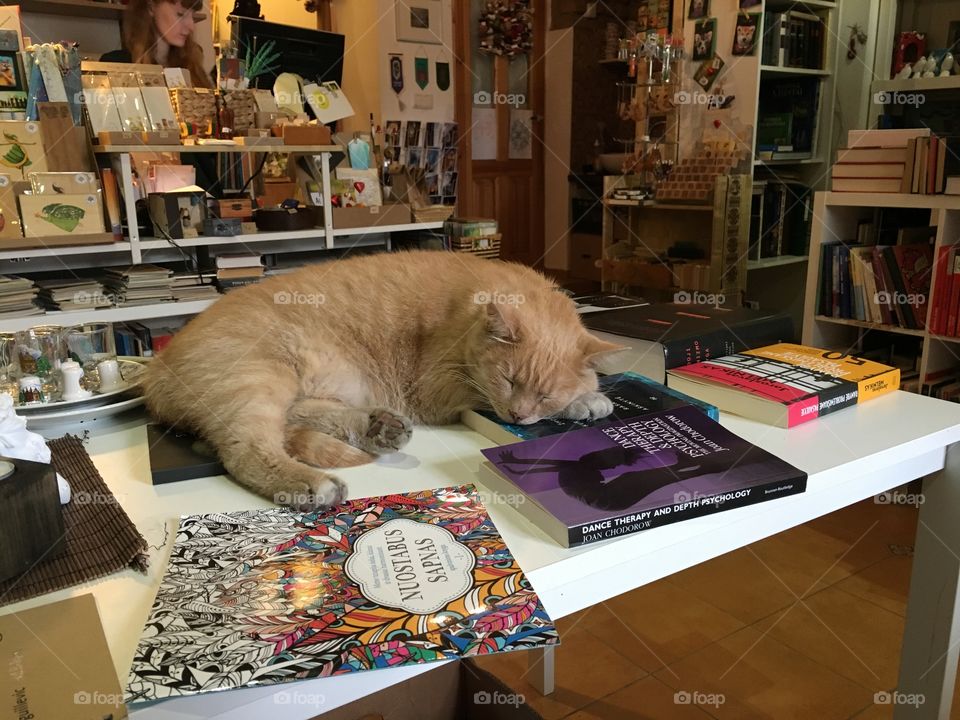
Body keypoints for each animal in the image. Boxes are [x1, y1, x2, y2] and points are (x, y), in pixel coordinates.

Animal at [141, 250, 624, 510]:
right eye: (507, 380)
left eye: (543, 394)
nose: (519, 416)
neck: (467, 309)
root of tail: (155, 368)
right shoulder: (440, 389)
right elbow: (479, 397)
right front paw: (586, 397)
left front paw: (588, 396)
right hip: (256, 378)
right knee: (246, 450)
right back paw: (311, 484)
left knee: (295, 419)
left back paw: (377, 426)